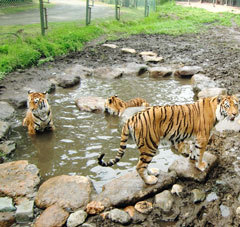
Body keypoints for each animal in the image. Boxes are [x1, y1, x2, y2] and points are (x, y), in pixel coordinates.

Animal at [98, 95, 239, 185]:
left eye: (236, 105)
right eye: (227, 106)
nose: (235, 114)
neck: (216, 109)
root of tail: (131, 118)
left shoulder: (196, 137)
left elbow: (194, 150)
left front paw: (192, 160)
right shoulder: (203, 137)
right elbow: (200, 153)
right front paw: (200, 166)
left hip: (145, 147)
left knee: (142, 164)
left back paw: (152, 172)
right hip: (150, 145)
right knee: (139, 166)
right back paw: (150, 181)